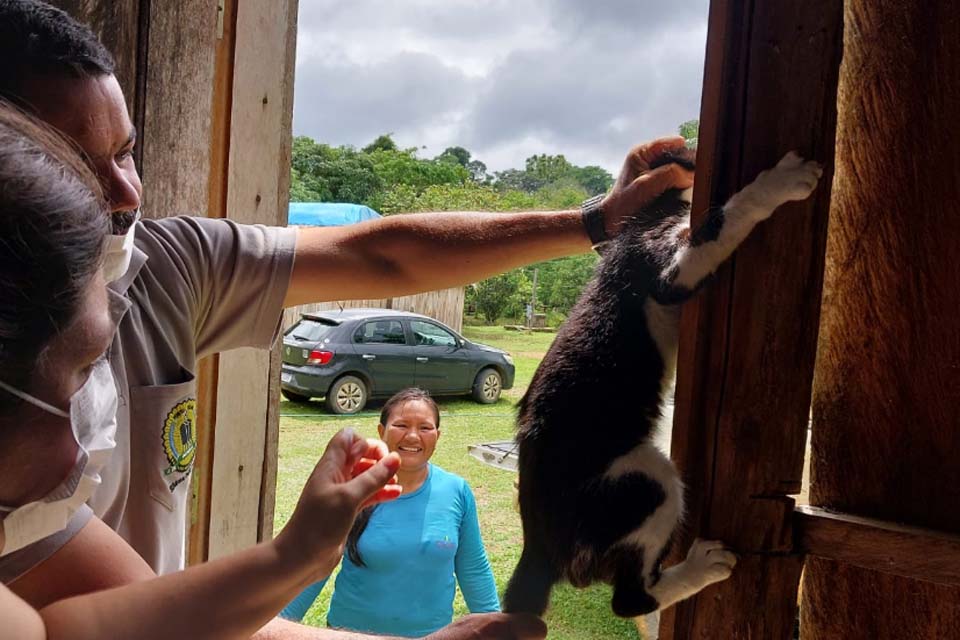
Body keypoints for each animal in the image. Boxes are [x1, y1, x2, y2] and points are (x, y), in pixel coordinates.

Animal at [498, 148, 820, 616]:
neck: (654, 210)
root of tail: (537, 547)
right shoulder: (669, 270)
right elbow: (724, 217)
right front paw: (780, 181)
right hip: (648, 482)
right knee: (629, 599)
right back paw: (702, 567)